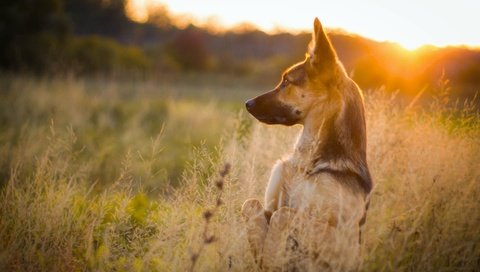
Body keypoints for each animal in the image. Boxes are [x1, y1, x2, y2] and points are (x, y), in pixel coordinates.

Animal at [242, 18, 374, 270]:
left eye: (286, 82)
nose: (248, 103)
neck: (309, 163)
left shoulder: (347, 244)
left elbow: (283, 214)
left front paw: (272, 259)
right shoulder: (267, 206)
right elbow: (252, 204)